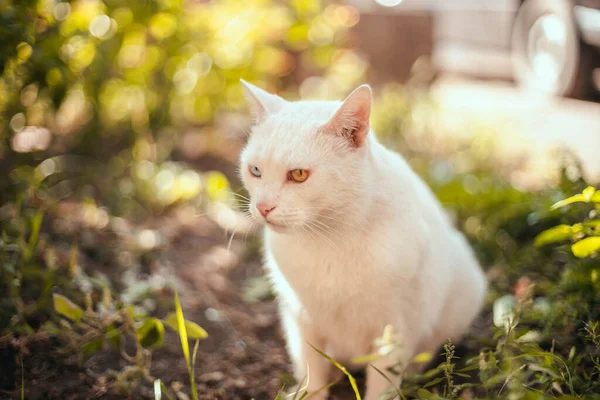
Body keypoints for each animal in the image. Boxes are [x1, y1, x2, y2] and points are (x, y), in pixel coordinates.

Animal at [238, 81, 488, 400]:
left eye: (299, 174)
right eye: (255, 170)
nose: (263, 207)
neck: (329, 237)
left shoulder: (395, 328)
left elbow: (383, 382)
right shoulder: (301, 317)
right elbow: (311, 365)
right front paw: (311, 391)